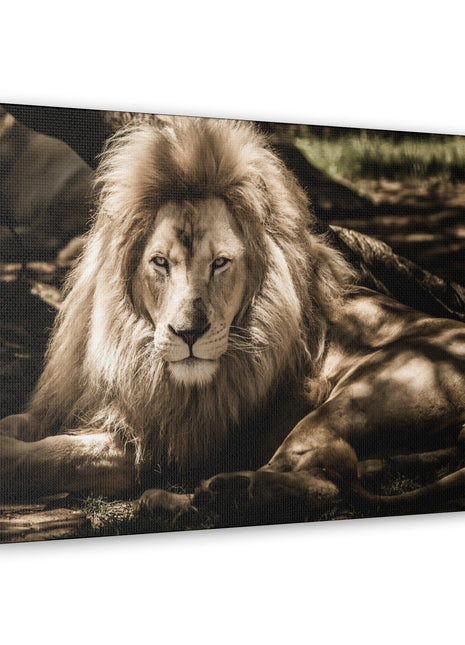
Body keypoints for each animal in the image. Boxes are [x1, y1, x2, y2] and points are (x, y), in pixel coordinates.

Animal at [1, 116, 465, 524]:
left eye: (220, 263)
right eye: (160, 262)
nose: (188, 333)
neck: (128, 347)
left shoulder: (153, 445)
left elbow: (54, 455)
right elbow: (17, 424)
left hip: (352, 399)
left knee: (321, 483)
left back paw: (205, 494)